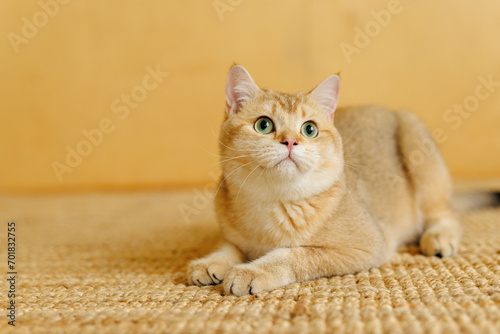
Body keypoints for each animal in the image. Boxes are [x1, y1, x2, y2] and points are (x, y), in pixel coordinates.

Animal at [187, 64, 460, 296]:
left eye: (309, 129)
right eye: (263, 125)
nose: (290, 141)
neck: (275, 202)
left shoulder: (365, 247)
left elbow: (293, 255)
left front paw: (252, 270)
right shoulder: (233, 235)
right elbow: (227, 246)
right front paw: (210, 261)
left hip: (417, 145)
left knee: (443, 213)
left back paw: (439, 237)